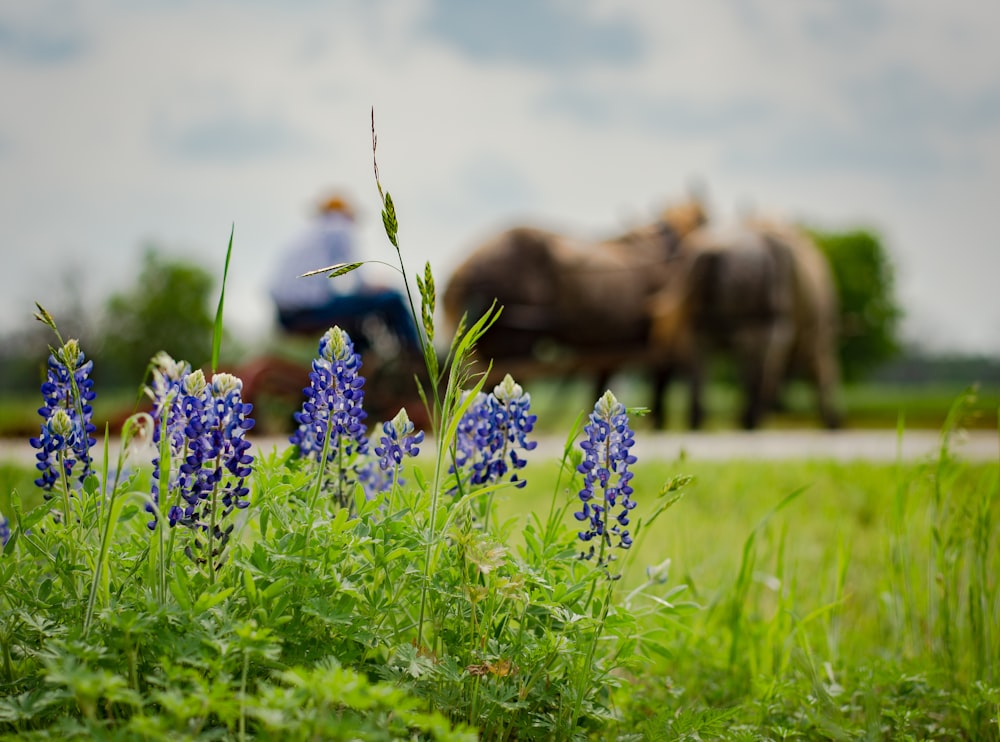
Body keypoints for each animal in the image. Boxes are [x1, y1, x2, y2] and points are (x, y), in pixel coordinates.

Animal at [442, 201, 708, 428]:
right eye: (705, 219)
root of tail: (463, 270)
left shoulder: (607, 345)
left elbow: (602, 386)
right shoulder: (661, 338)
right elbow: (668, 375)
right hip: (513, 343)